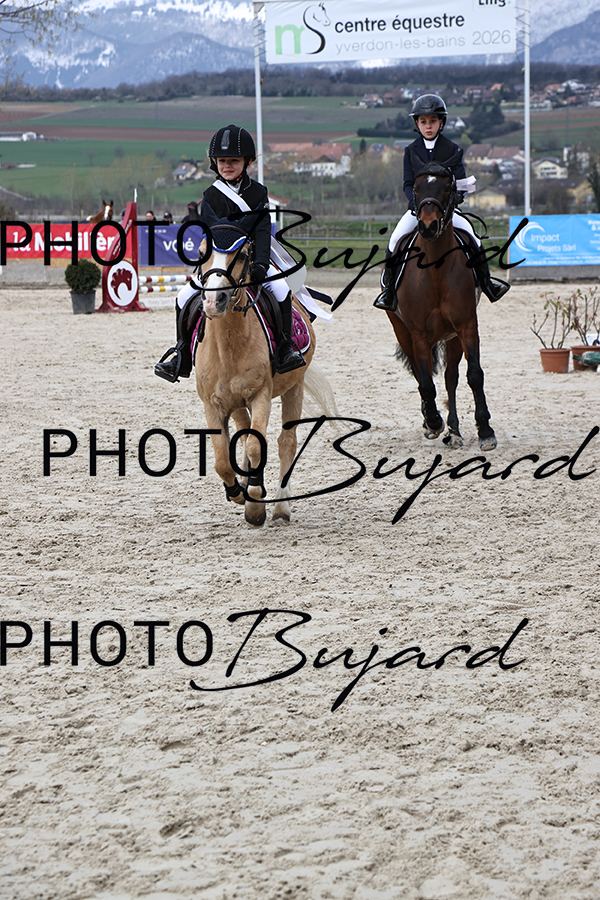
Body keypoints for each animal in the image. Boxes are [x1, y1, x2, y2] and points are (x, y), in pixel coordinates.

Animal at [194, 224, 332, 526]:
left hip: (295, 386)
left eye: (244, 255)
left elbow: (257, 446)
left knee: (286, 443)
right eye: (200, 253)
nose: (213, 300)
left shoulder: (261, 395)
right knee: (244, 434)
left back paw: (280, 508)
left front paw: (255, 503)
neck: (228, 345)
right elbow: (222, 460)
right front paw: (238, 492)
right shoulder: (213, 404)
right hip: (236, 403)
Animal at [385, 162, 497, 451]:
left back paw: (454, 431)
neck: (435, 267)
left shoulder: (467, 326)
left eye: (447, 187)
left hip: (452, 336)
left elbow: (474, 375)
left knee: (450, 378)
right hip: (402, 331)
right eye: (416, 187)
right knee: (419, 373)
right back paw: (432, 420)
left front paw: (485, 430)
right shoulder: (417, 334)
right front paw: (433, 422)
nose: (427, 226)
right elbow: (425, 381)